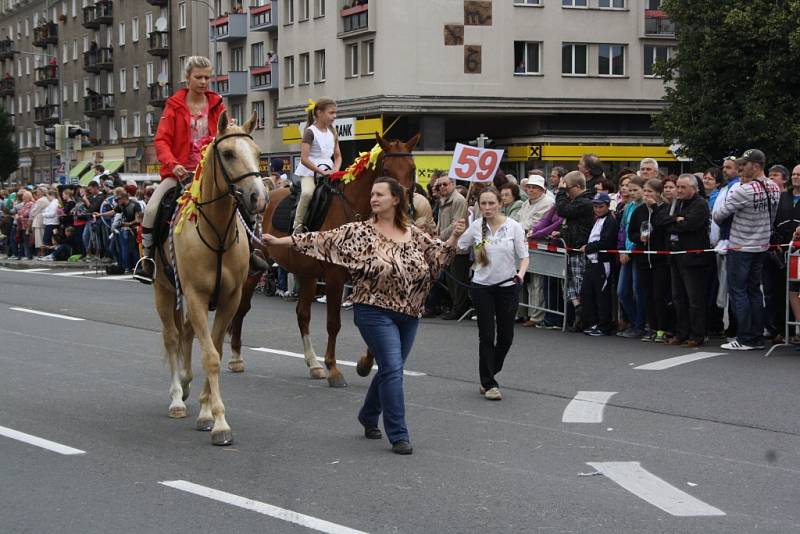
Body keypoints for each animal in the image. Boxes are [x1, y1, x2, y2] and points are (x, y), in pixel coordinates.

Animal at [153, 112, 268, 448]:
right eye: (228, 153)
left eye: (258, 153)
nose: (259, 198)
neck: (215, 233)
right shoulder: (194, 297)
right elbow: (211, 357)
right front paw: (220, 424)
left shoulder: (230, 300)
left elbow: (214, 348)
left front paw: (206, 411)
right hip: (163, 292)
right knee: (172, 338)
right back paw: (176, 398)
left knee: (187, 335)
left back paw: (187, 385)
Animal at [225, 132, 418, 388]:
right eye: (386, 169)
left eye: (412, 168)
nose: (404, 210)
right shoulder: (335, 278)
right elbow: (334, 323)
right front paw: (334, 368)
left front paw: (365, 363)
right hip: (256, 267)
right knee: (242, 307)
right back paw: (236, 357)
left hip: (306, 274)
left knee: (302, 315)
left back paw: (313, 363)